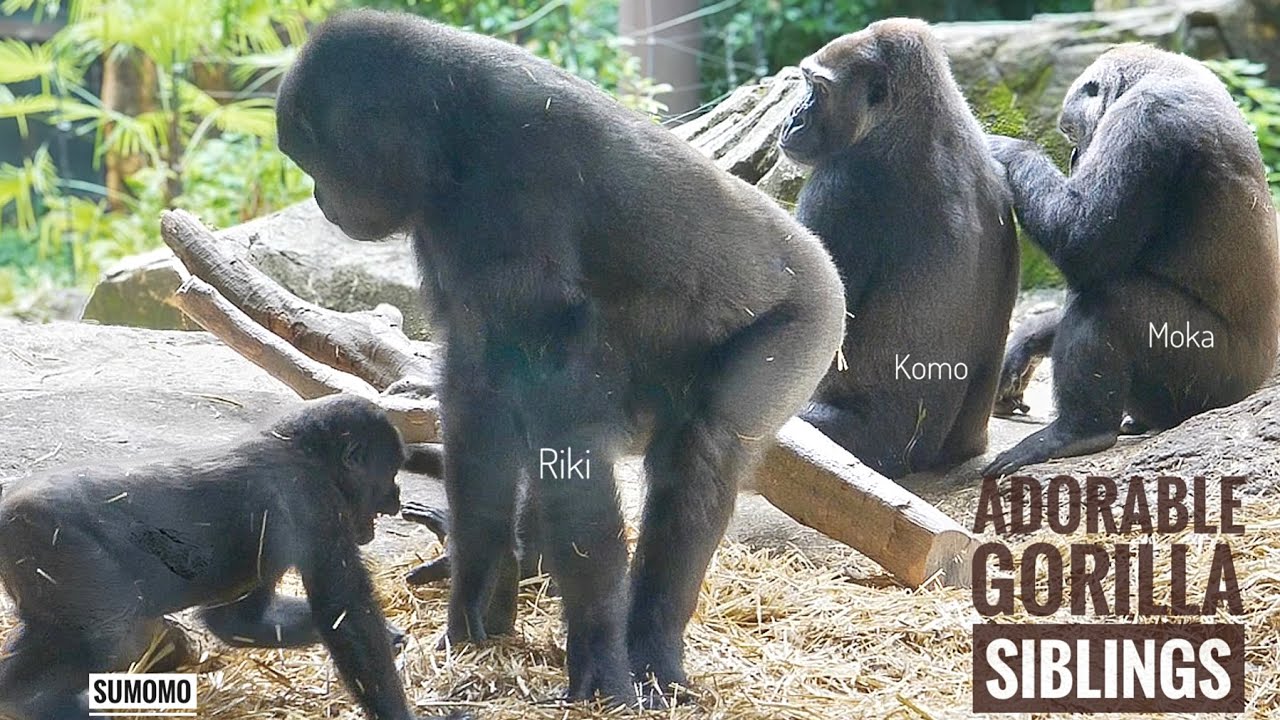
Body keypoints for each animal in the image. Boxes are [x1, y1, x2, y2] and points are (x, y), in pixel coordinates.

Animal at [0, 395, 458, 720]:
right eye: (390, 472)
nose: (395, 496)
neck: (303, 450)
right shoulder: (312, 499)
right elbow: (346, 616)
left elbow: (239, 621)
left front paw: (392, 636)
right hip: (48, 534)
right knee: (106, 635)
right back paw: (34, 703)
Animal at [275, 9, 846, 703]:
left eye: (319, 161)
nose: (319, 199)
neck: (448, 131)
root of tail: (821, 256)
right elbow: (478, 400)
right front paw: (477, 594)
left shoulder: (518, 191)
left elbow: (565, 442)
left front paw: (597, 651)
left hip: (812, 321)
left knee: (701, 455)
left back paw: (652, 648)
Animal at [985, 44, 1280, 476]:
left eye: (1070, 131)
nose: (1074, 156)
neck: (1154, 73)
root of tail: (1255, 384)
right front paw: (1027, 341)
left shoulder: (1145, 120)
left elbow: (1083, 242)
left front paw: (1007, 149)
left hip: (1216, 385)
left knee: (1108, 300)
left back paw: (1079, 431)